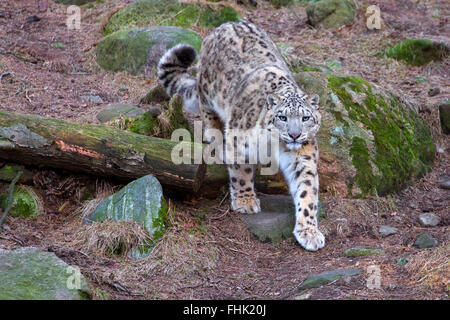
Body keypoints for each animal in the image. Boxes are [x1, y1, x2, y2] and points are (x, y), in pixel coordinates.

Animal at [158, 20, 324, 250]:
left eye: (305, 118)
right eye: (282, 117)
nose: (294, 135)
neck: (276, 146)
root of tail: (225, 24)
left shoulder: (303, 158)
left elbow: (307, 192)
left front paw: (309, 232)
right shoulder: (239, 142)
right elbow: (241, 172)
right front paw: (245, 201)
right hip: (209, 94)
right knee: (209, 116)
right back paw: (216, 141)